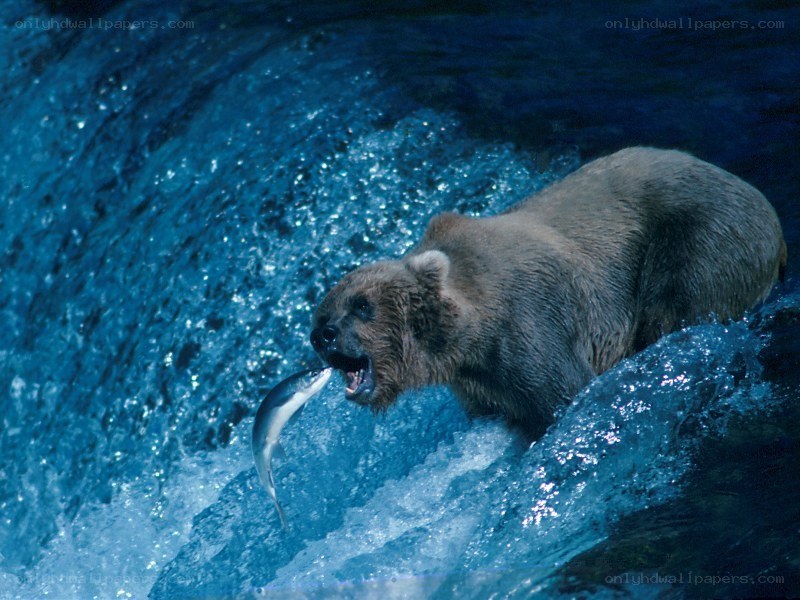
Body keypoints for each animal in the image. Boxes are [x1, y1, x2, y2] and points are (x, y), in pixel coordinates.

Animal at [310, 147, 786, 435]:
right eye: (323, 311)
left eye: (362, 306)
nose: (323, 336)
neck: (466, 339)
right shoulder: (479, 385)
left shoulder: (530, 328)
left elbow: (564, 394)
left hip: (701, 238)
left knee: (678, 310)